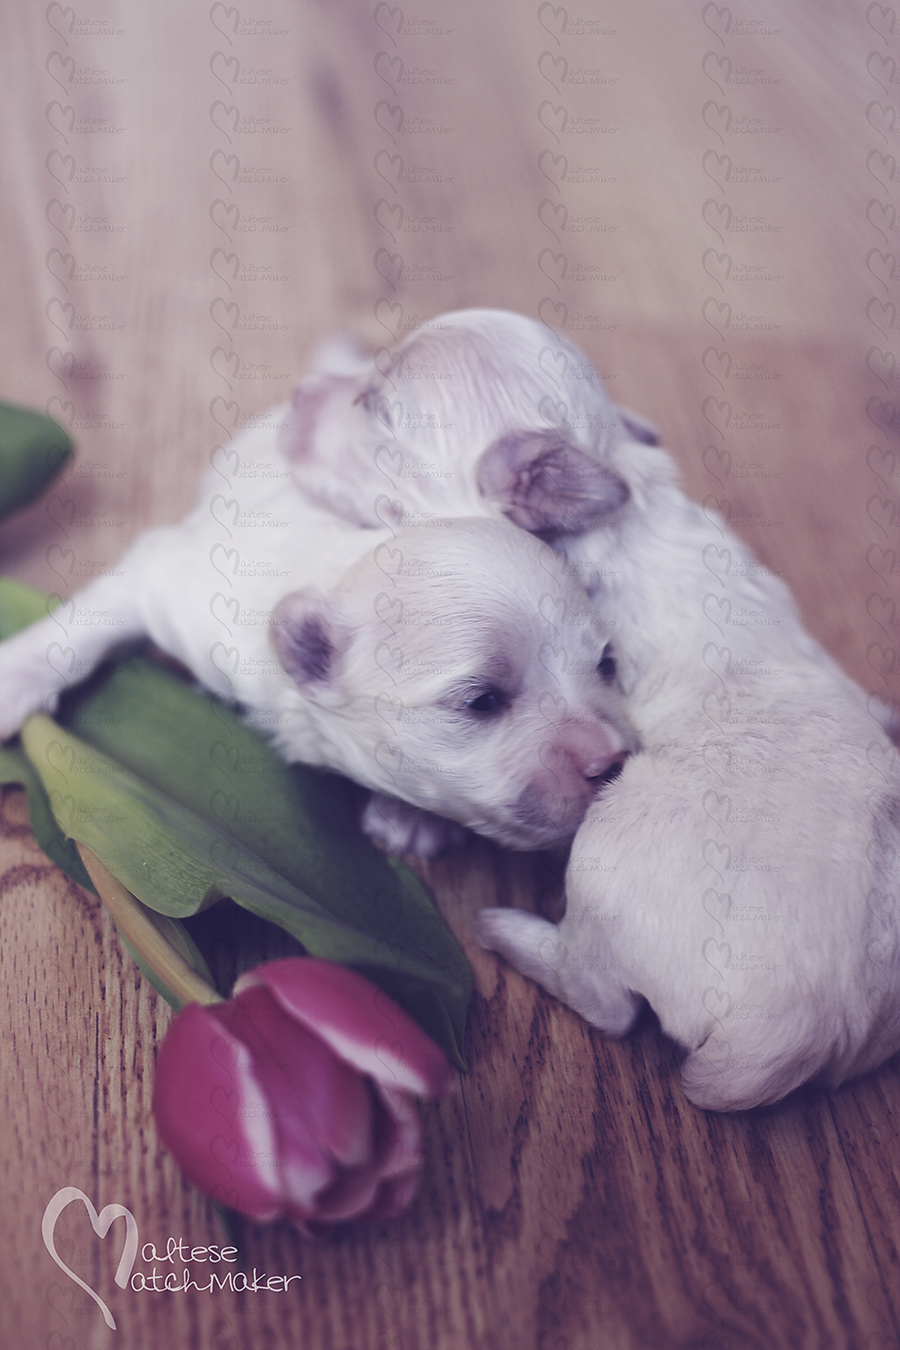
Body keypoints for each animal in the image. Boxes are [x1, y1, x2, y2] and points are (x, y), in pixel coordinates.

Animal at [0, 405, 636, 858]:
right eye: (481, 701)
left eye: (606, 664)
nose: (613, 762)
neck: (342, 570)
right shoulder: (178, 581)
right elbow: (89, 621)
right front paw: (12, 683)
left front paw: (409, 819)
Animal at [284, 310, 900, 1112]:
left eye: (376, 409)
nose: (295, 394)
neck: (616, 487)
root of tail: (790, 1040)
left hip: (605, 855)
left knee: (606, 1001)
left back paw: (509, 933)